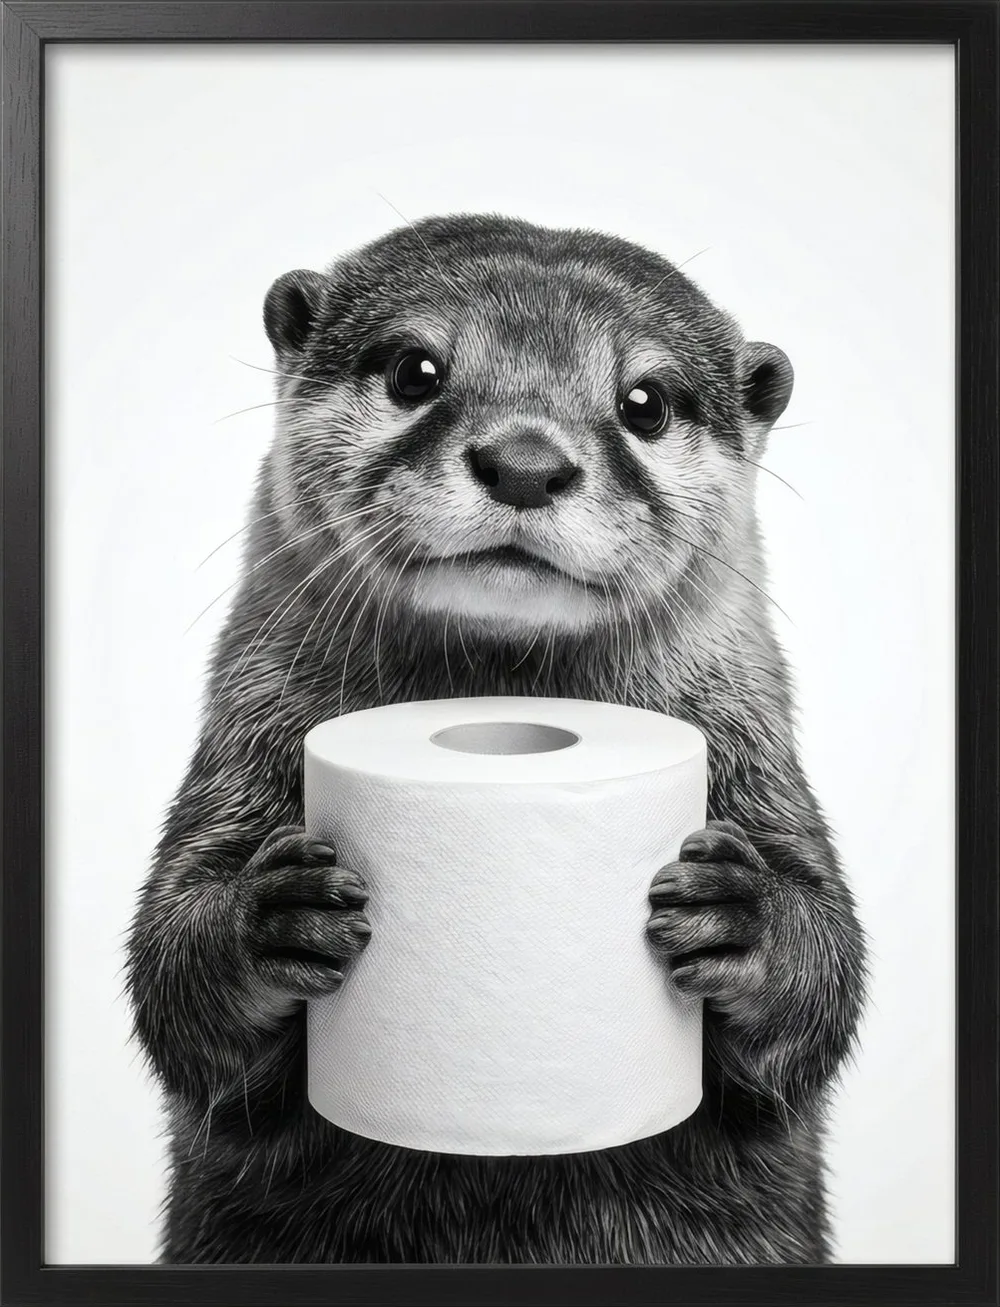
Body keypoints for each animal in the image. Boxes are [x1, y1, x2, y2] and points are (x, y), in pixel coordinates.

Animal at [126, 214, 866, 1265]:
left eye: (644, 402)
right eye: (416, 369)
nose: (525, 461)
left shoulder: (761, 768)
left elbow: (821, 988)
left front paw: (745, 913)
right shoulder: (236, 752)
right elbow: (175, 988)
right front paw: (268, 914)